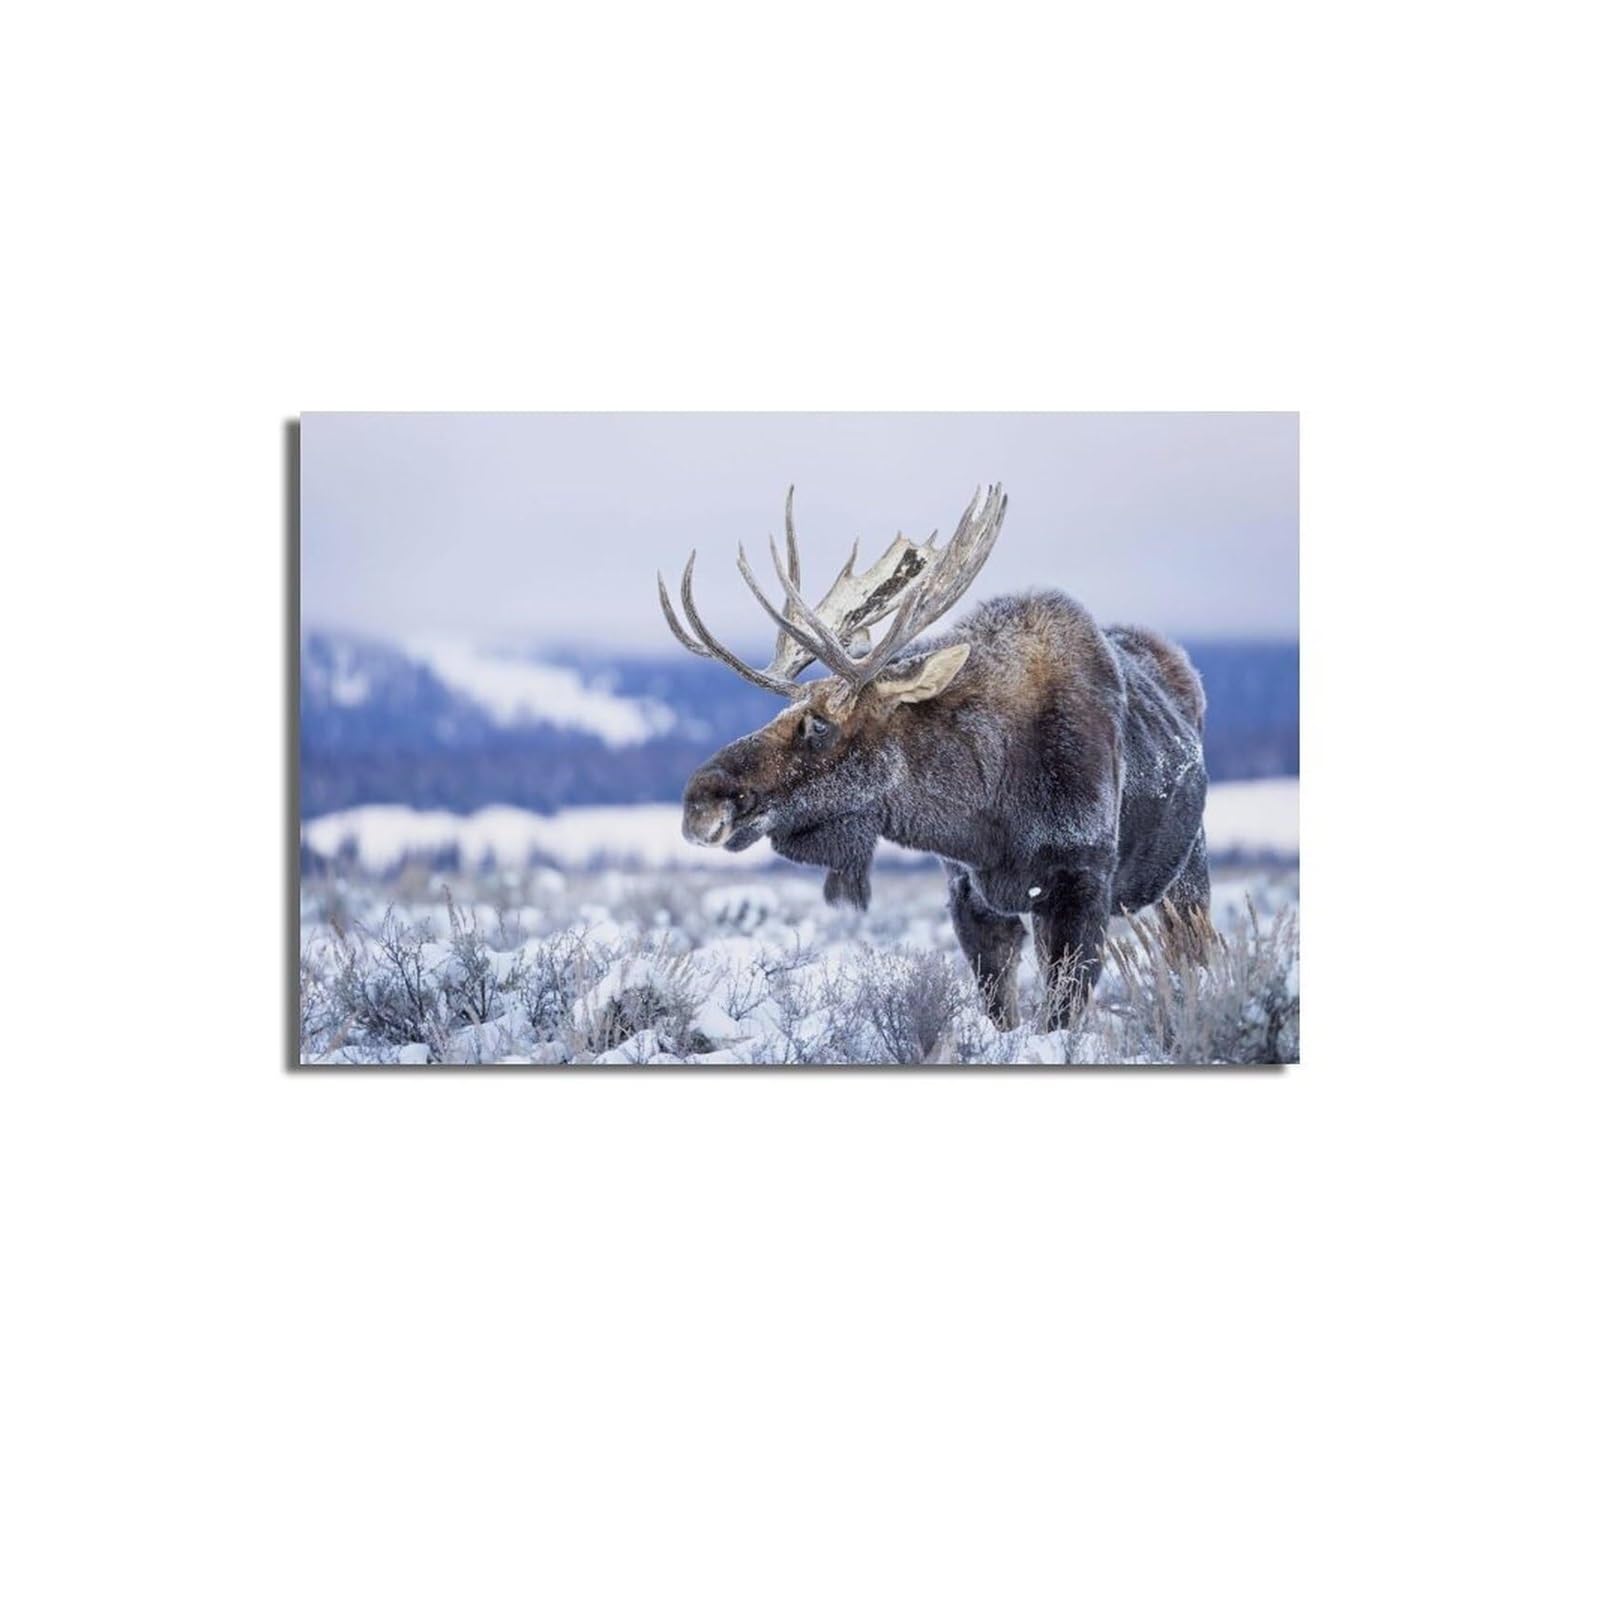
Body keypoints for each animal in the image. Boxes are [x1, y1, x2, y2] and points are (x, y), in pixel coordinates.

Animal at [657, 486, 1211, 1030]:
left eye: (819, 725)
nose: (700, 801)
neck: (988, 809)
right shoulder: (968, 893)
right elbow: (1001, 1012)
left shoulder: (1080, 884)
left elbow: (1060, 1016)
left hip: (1187, 871)